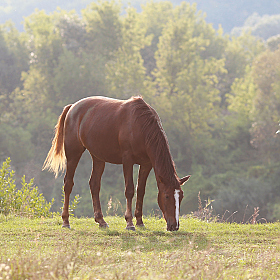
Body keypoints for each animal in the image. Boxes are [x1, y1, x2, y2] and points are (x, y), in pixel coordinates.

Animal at [43, 95, 190, 231]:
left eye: (181, 197)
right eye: (167, 196)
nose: (174, 226)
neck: (140, 125)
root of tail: (72, 107)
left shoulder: (146, 164)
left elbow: (140, 190)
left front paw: (139, 221)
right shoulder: (127, 161)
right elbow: (129, 190)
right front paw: (129, 223)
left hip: (98, 157)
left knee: (94, 184)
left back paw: (101, 220)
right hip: (73, 154)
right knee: (68, 183)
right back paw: (66, 221)